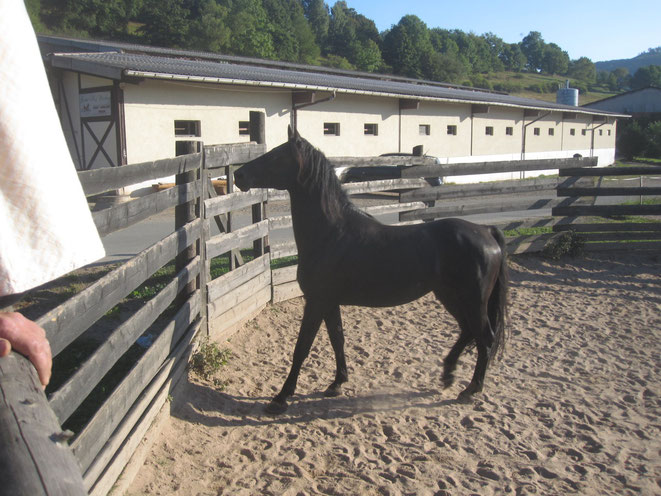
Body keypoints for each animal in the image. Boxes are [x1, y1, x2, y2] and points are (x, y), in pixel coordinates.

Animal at [235, 128, 508, 414]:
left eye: (277, 155)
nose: (238, 176)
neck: (331, 233)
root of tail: (486, 231)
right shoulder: (329, 303)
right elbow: (337, 339)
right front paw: (337, 383)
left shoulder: (316, 302)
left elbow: (302, 347)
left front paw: (281, 397)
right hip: (450, 296)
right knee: (468, 331)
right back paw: (447, 375)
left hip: (472, 301)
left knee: (485, 337)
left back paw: (470, 389)